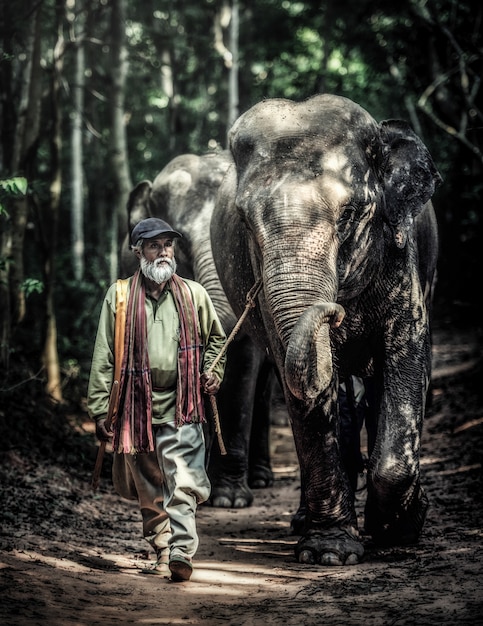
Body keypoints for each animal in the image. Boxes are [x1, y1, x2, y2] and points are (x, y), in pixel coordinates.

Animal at [212, 94, 442, 564]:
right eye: (244, 221)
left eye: (350, 213)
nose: (333, 313)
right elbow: (306, 384)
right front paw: (330, 553)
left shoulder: (403, 257)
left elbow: (405, 356)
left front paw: (400, 529)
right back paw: (307, 521)